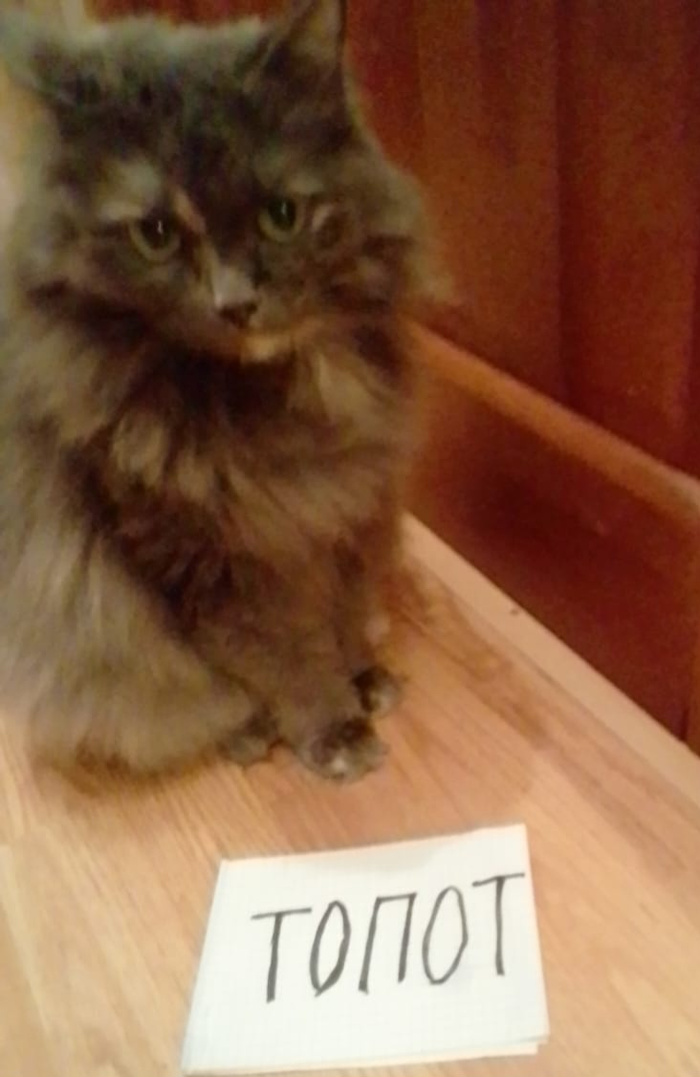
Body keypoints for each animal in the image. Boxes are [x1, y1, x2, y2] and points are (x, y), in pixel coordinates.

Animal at [0, 0, 429, 781]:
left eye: (281, 216)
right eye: (157, 233)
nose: (235, 304)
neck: (290, 389)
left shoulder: (349, 510)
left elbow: (345, 613)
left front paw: (361, 675)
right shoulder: (203, 561)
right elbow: (284, 657)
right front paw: (332, 727)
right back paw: (247, 732)